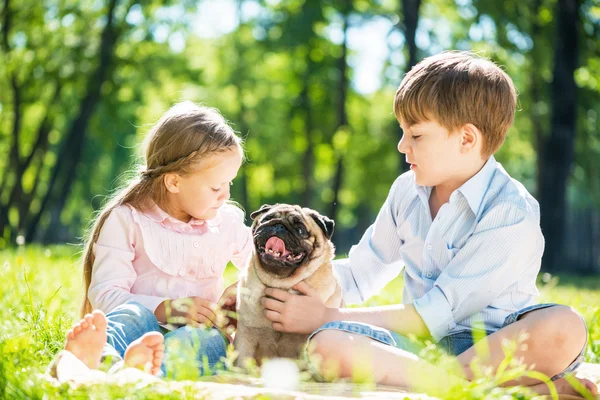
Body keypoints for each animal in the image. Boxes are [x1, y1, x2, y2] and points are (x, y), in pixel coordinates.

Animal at [233, 203, 342, 366]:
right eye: (267, 219)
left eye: (301, 230)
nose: (279, 226)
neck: (280, 283)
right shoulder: (246, 337)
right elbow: (241, 365)